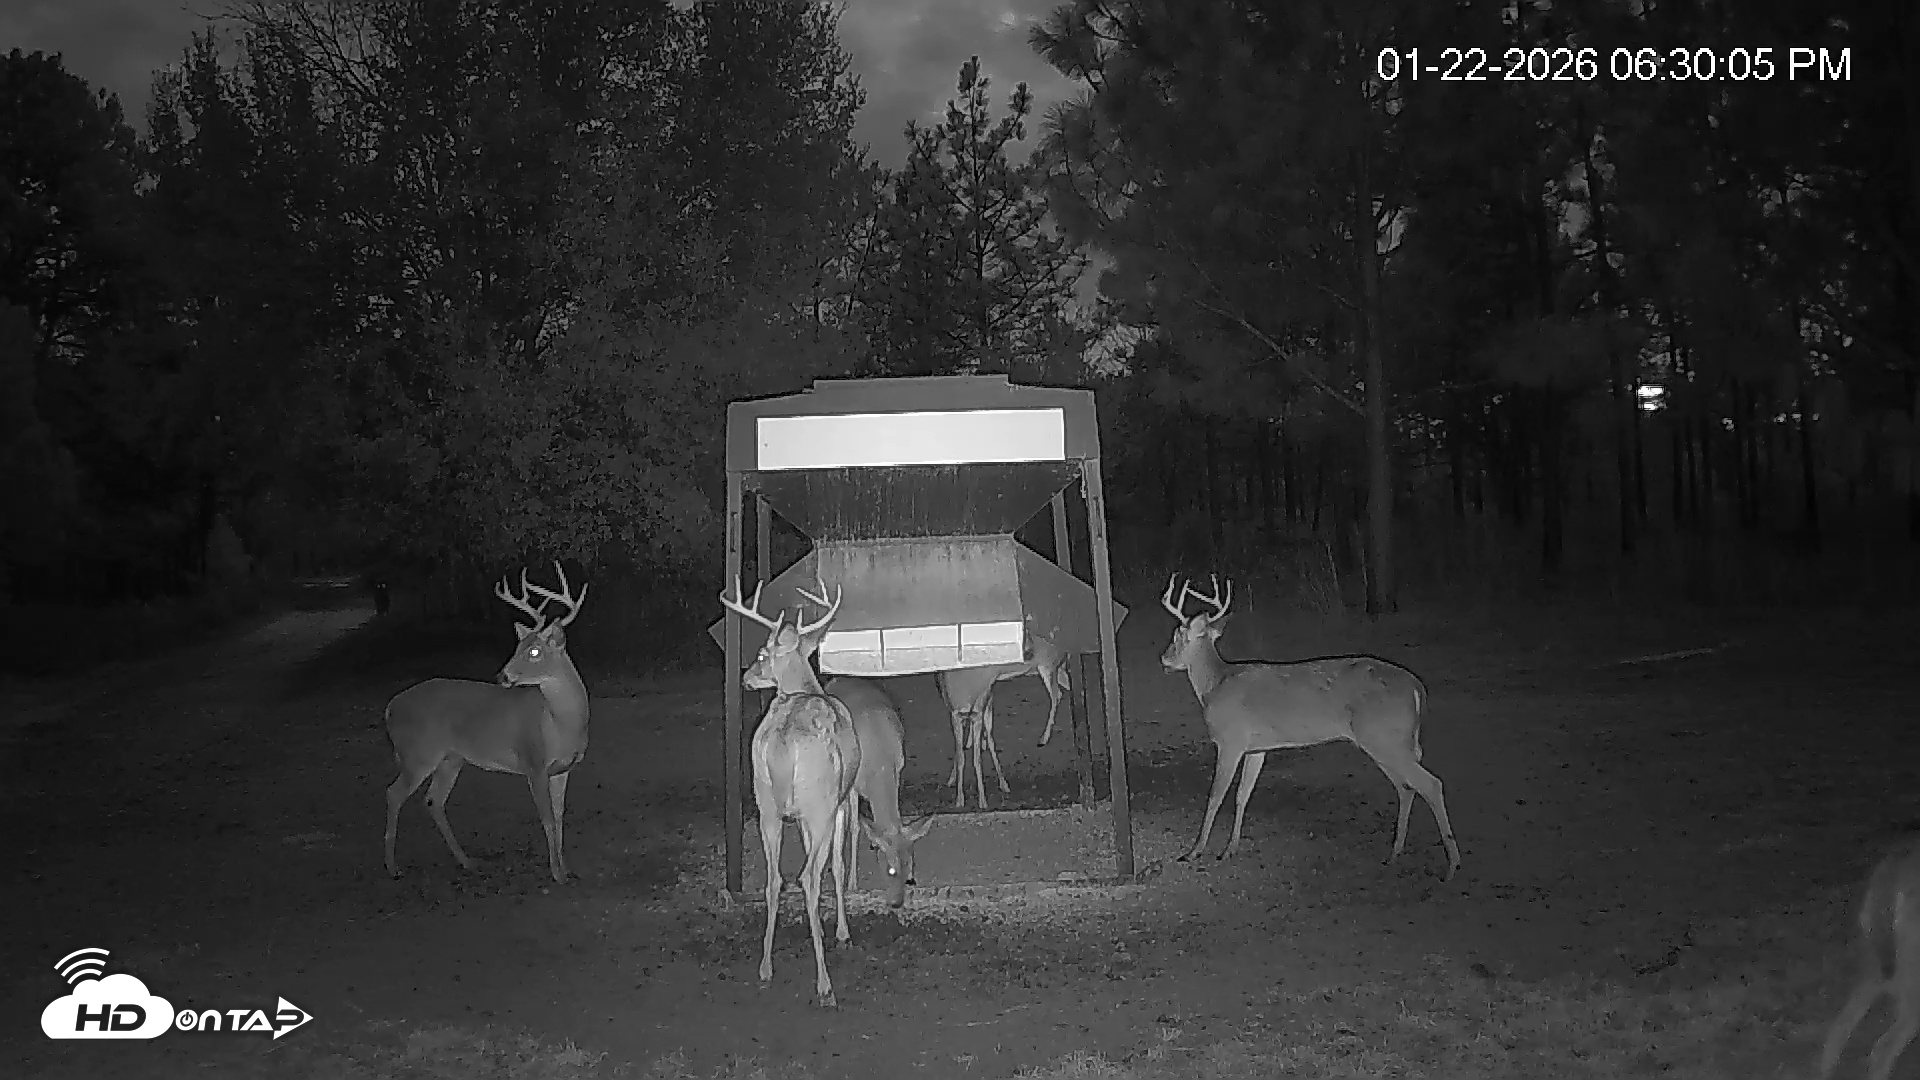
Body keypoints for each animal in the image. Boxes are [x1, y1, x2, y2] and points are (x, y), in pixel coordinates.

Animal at [382, 561, 590, 884]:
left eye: (534, 651)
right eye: (518, 647)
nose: (502, 676)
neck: (560, 725)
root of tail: (390, 708)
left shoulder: (563, 768)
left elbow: (559, 816)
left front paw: (566, 869)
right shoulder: (533, 762)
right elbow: (546, 818)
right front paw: (556, 873)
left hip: (451, 758)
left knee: (433, 799)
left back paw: (467, 861)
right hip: (419, 753)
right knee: (393, 794)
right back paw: (393, 868)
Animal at [720, 574, 861, 1008]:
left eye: (761, 654)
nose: (747, 676)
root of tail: (783, 741)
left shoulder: (795, 815)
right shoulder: (842, 798)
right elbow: (838, 864)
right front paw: (842, 932)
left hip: (766, 802)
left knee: (774, 880)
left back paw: (765, 967)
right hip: (820, 802)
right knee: (808, 877)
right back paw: (824, 983)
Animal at [935, 634, 1071, 810]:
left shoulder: (980, 705)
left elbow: (977, 753)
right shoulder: (960, 713)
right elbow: (963, 752)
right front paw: (957, 793)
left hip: (1048, 666)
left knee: (1056, 695)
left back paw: (1043, 738)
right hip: (1055, 669)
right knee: (1065, 688)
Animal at [1159, 574, 1461, 879]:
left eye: (1177, 636)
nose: (1164, 658)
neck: (1214, 685)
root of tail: (1417, 688)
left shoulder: (1230, 740)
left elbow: (1215, 796)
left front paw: (1194, 851)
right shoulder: (1257, 748)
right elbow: (1243, 795)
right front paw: (1229, 849)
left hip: (1384, 737)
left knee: (1431, 784)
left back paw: (1452, 866)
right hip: (1386, 741)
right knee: (1406, 787)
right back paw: (1394, 854)